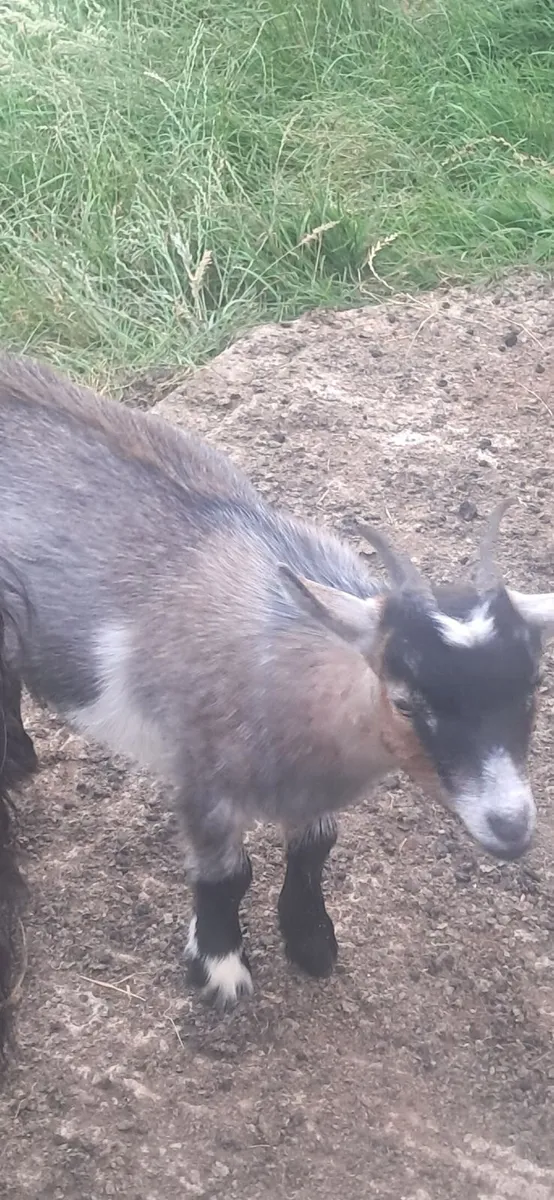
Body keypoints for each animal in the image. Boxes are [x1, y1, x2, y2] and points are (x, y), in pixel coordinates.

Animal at [0, 353, 553, 1014]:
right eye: (404, 701)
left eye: (534, 686)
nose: (512, 827)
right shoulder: (200, 775)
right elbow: (227, 875)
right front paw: (219, 968)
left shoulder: (309, 789)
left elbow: (314, 849)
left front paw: (311, 941)